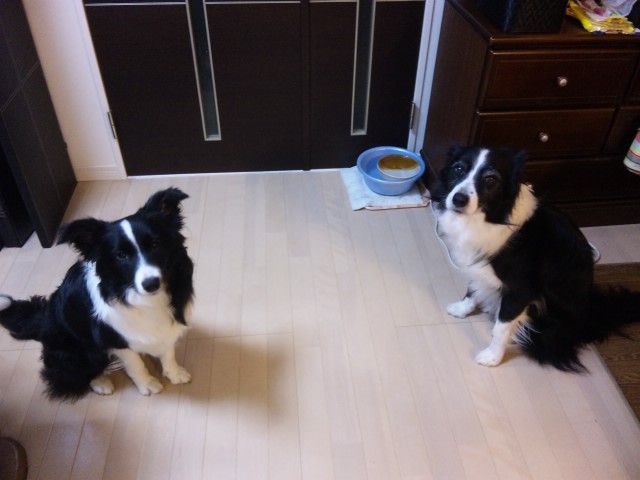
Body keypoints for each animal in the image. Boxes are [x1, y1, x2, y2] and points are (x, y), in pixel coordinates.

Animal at [0, 188, 194, 401]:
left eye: (155, 244)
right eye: (120, 255)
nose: (151, 284)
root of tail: (44, 322)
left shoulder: (170, 322)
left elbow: (168, 351)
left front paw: (174, 374)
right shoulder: (112, 337)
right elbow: (135, 364)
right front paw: (148, 384)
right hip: (82, 352)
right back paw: (101, 382)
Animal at [431, 145, 640, 372]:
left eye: (491, 180)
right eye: (458, 169)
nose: (459, 199)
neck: (491, 217)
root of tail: (592, 317)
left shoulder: (521, 289)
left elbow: (503, 327)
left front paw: (492, 356)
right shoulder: (479, 262)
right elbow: (472, 288)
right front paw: (462, 309)